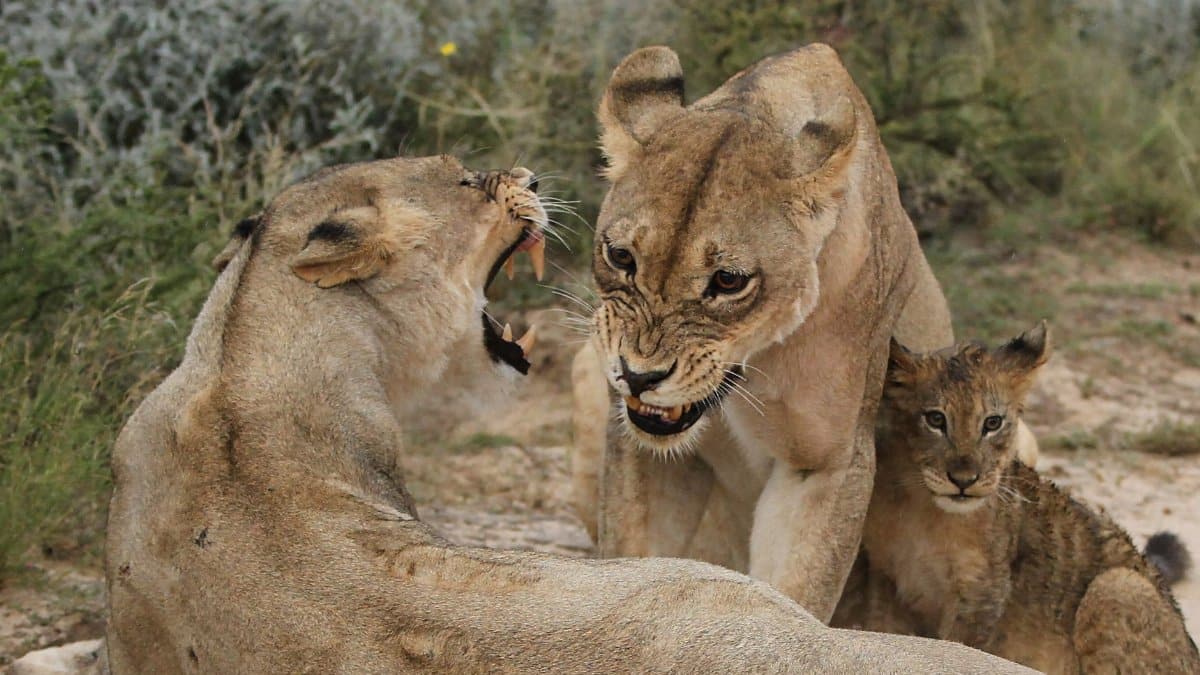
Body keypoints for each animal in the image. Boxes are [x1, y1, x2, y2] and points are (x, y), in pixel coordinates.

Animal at [570, 43, 1037, 622]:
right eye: (621, 257)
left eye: (728, 280)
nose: (637, 377)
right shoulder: (640, 446)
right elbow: (632, 561)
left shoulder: (827, 463)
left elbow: (797, 595)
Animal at [861, 324, 1199, 673]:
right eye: (936, 419)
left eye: (992, 423)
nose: (965, 481)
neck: (922, 508)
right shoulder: (886, 578)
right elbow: (882, 630)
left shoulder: (982, 594)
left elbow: (958, 649)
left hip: (1118, 585)